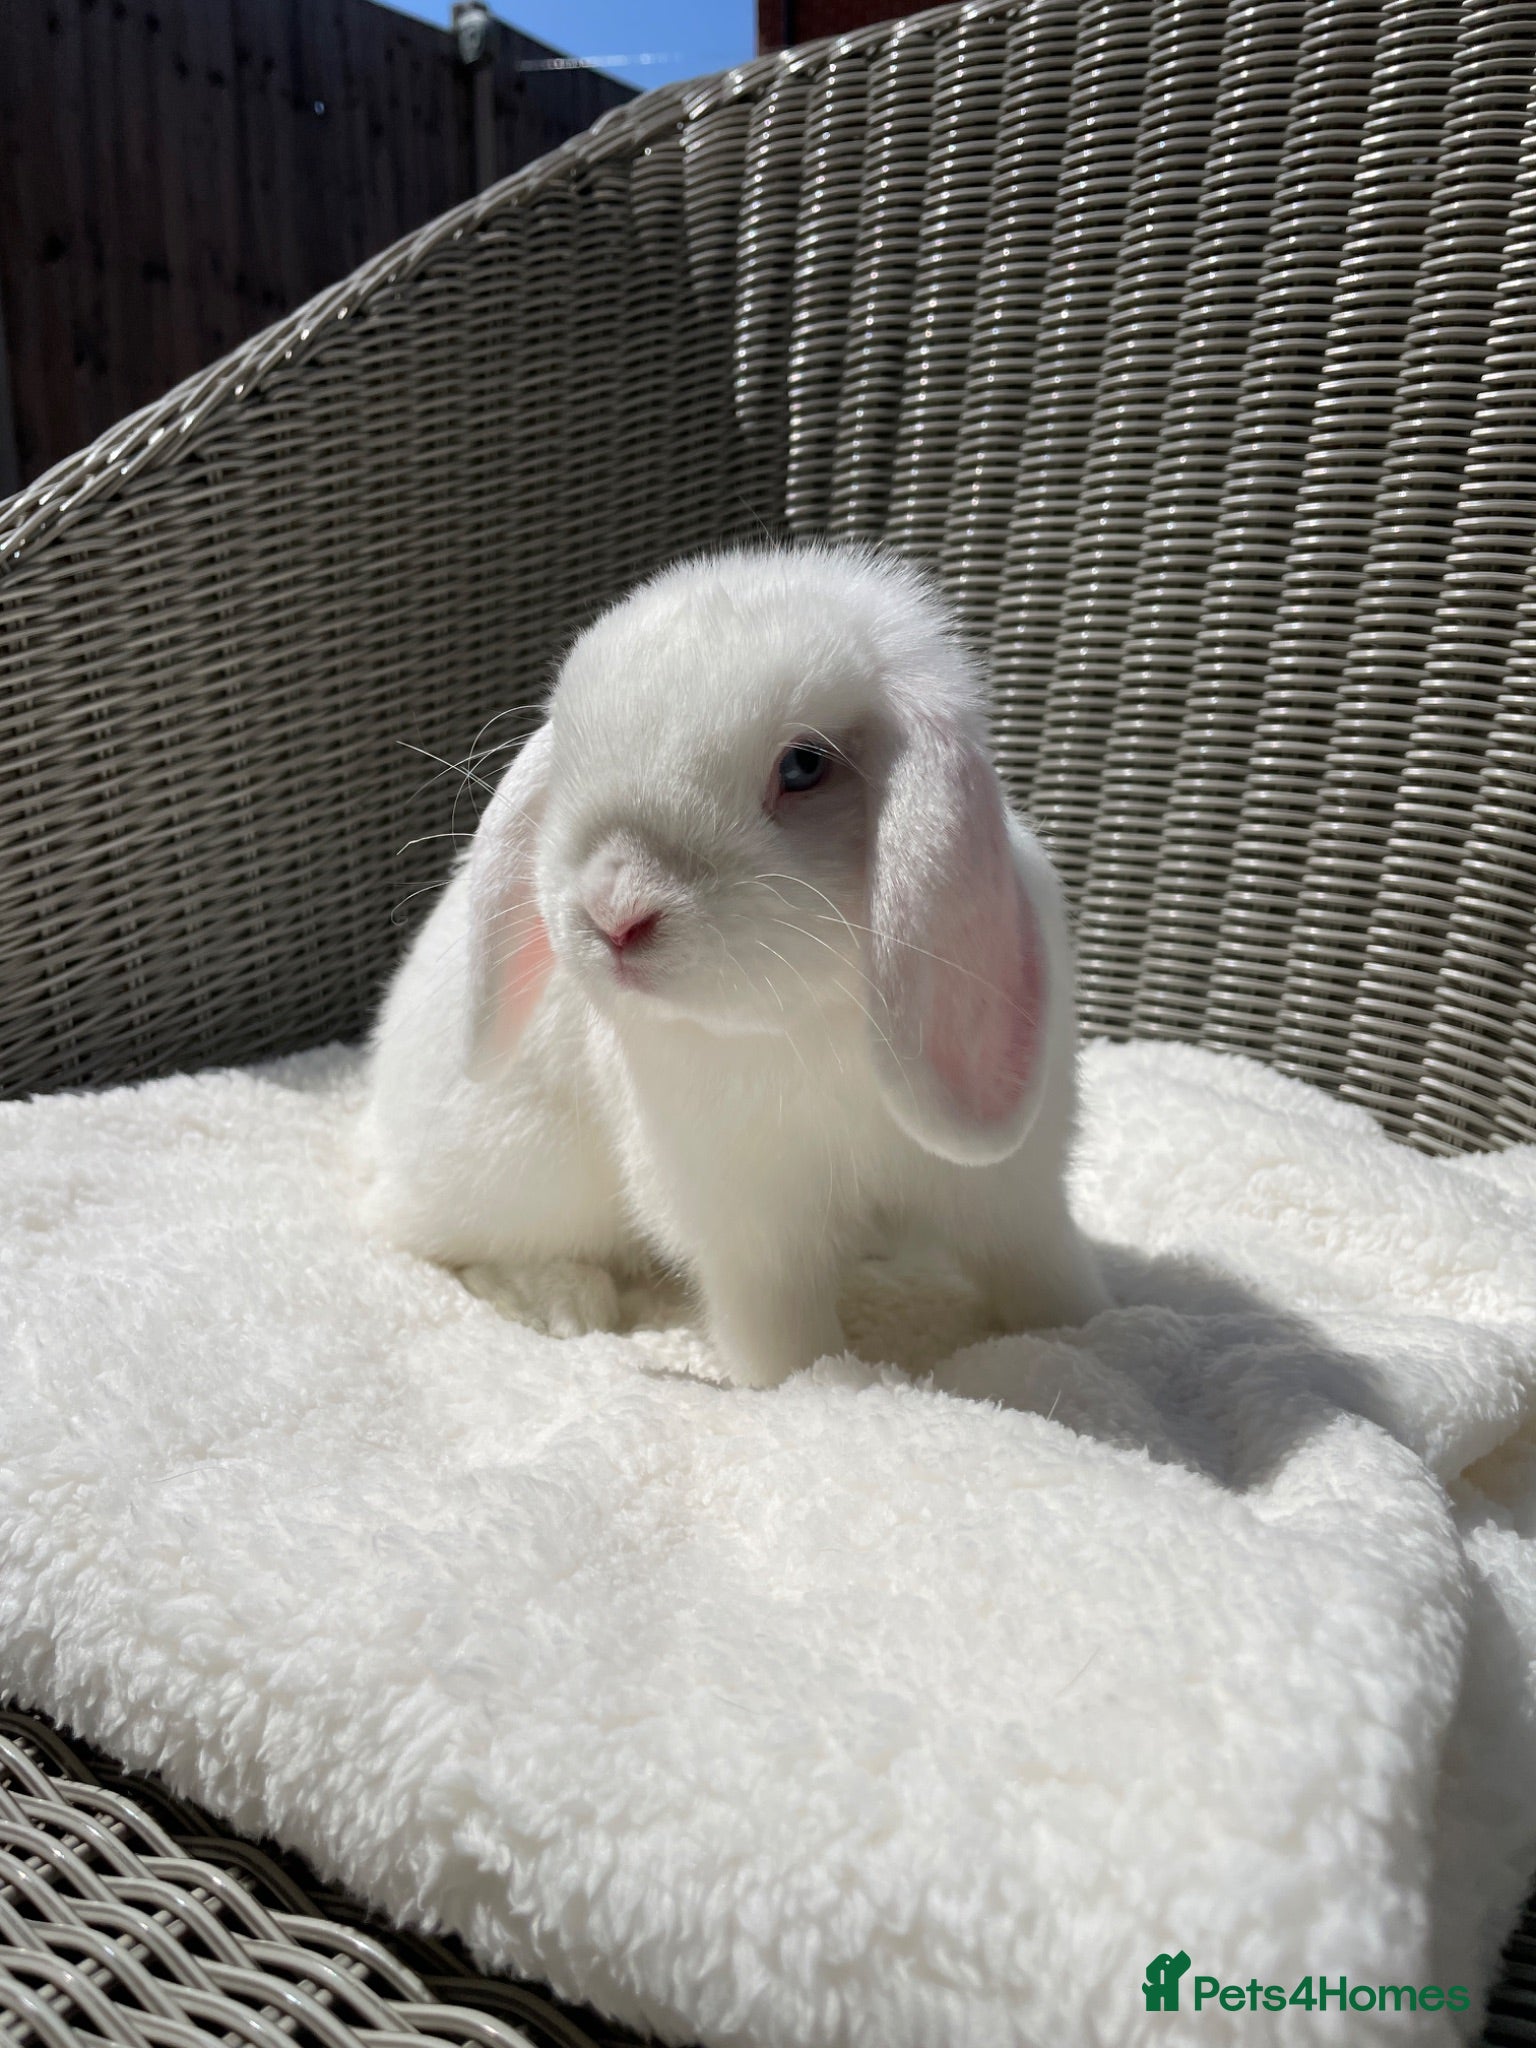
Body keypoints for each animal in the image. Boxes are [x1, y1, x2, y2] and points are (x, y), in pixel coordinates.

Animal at [360, 542, 1108, 1388]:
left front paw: (1093, 1329)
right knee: (431, 1240)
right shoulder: (752, 1229)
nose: (614, 911)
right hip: (525, 1179)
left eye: (804, 766)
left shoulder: (1014, 1194)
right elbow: (783, 1331)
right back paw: (565, 1302)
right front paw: (817, 1384)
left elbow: (1042, 1270)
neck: (806, 1023)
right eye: (571, 761)